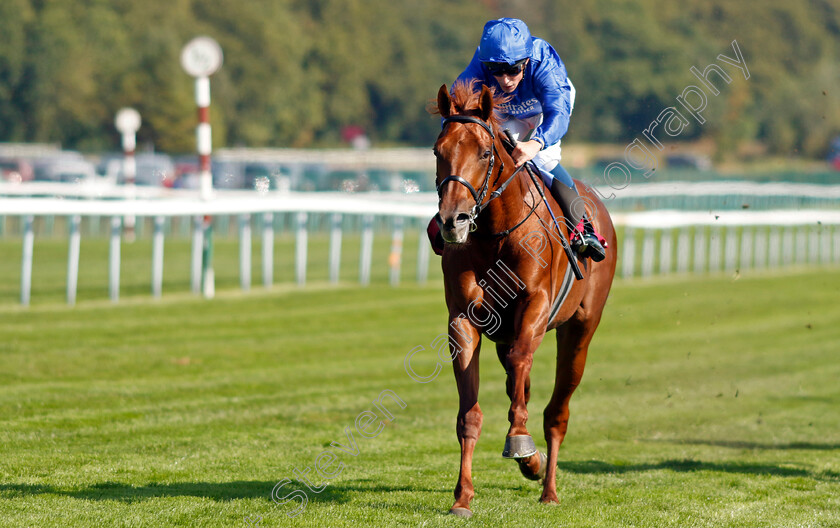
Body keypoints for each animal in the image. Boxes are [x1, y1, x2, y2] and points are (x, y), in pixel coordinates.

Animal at [434, 82, 616, 516]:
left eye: (485, 153)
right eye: (437, 150)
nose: (452, 220)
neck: (494, 234)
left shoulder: (535, 304)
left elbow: (521, 362)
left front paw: (519, 441)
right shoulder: (462, 318)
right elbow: (470, 414)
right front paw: (462, 497)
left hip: (580, 328)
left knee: (556, 411)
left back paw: (548, 487)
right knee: (523, 387)